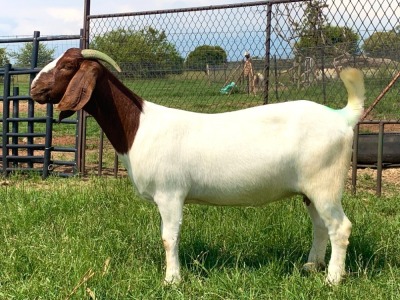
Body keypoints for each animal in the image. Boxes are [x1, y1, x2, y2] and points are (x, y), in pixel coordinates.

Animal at [32, 48, 366, 284]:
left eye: (66, 66)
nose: (34, 88)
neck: (140, 127)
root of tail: (341, 116)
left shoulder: (170, 194)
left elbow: (169, 237)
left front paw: (172, 280)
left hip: (324, 182)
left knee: (340, 227)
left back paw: (332, 279)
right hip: (312, 189)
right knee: (321, 226)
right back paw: (311, 266)